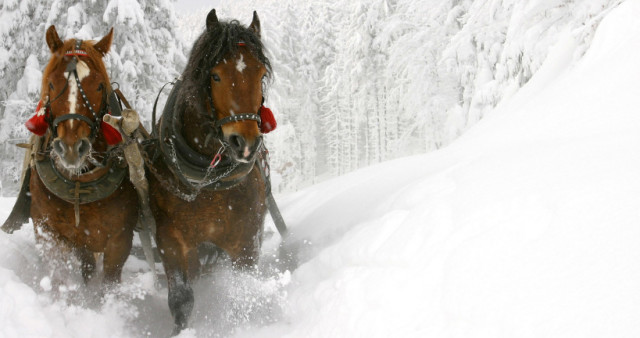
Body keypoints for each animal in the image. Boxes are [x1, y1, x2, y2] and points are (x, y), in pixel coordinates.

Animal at [27, 26, 139, 290]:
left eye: (98, 86)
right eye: (52, 83)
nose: (70, 147)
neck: (80, 183)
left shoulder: (120, 239)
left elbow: (109, 283)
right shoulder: (47, 231)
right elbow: (59, 278)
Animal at [146, 9, 272, 332]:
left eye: (260, 75)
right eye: (215, 75)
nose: (245, 143)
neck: (208, 182)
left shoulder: (246, 242)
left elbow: (243, 294)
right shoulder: (171, 240)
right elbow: (181, 300)